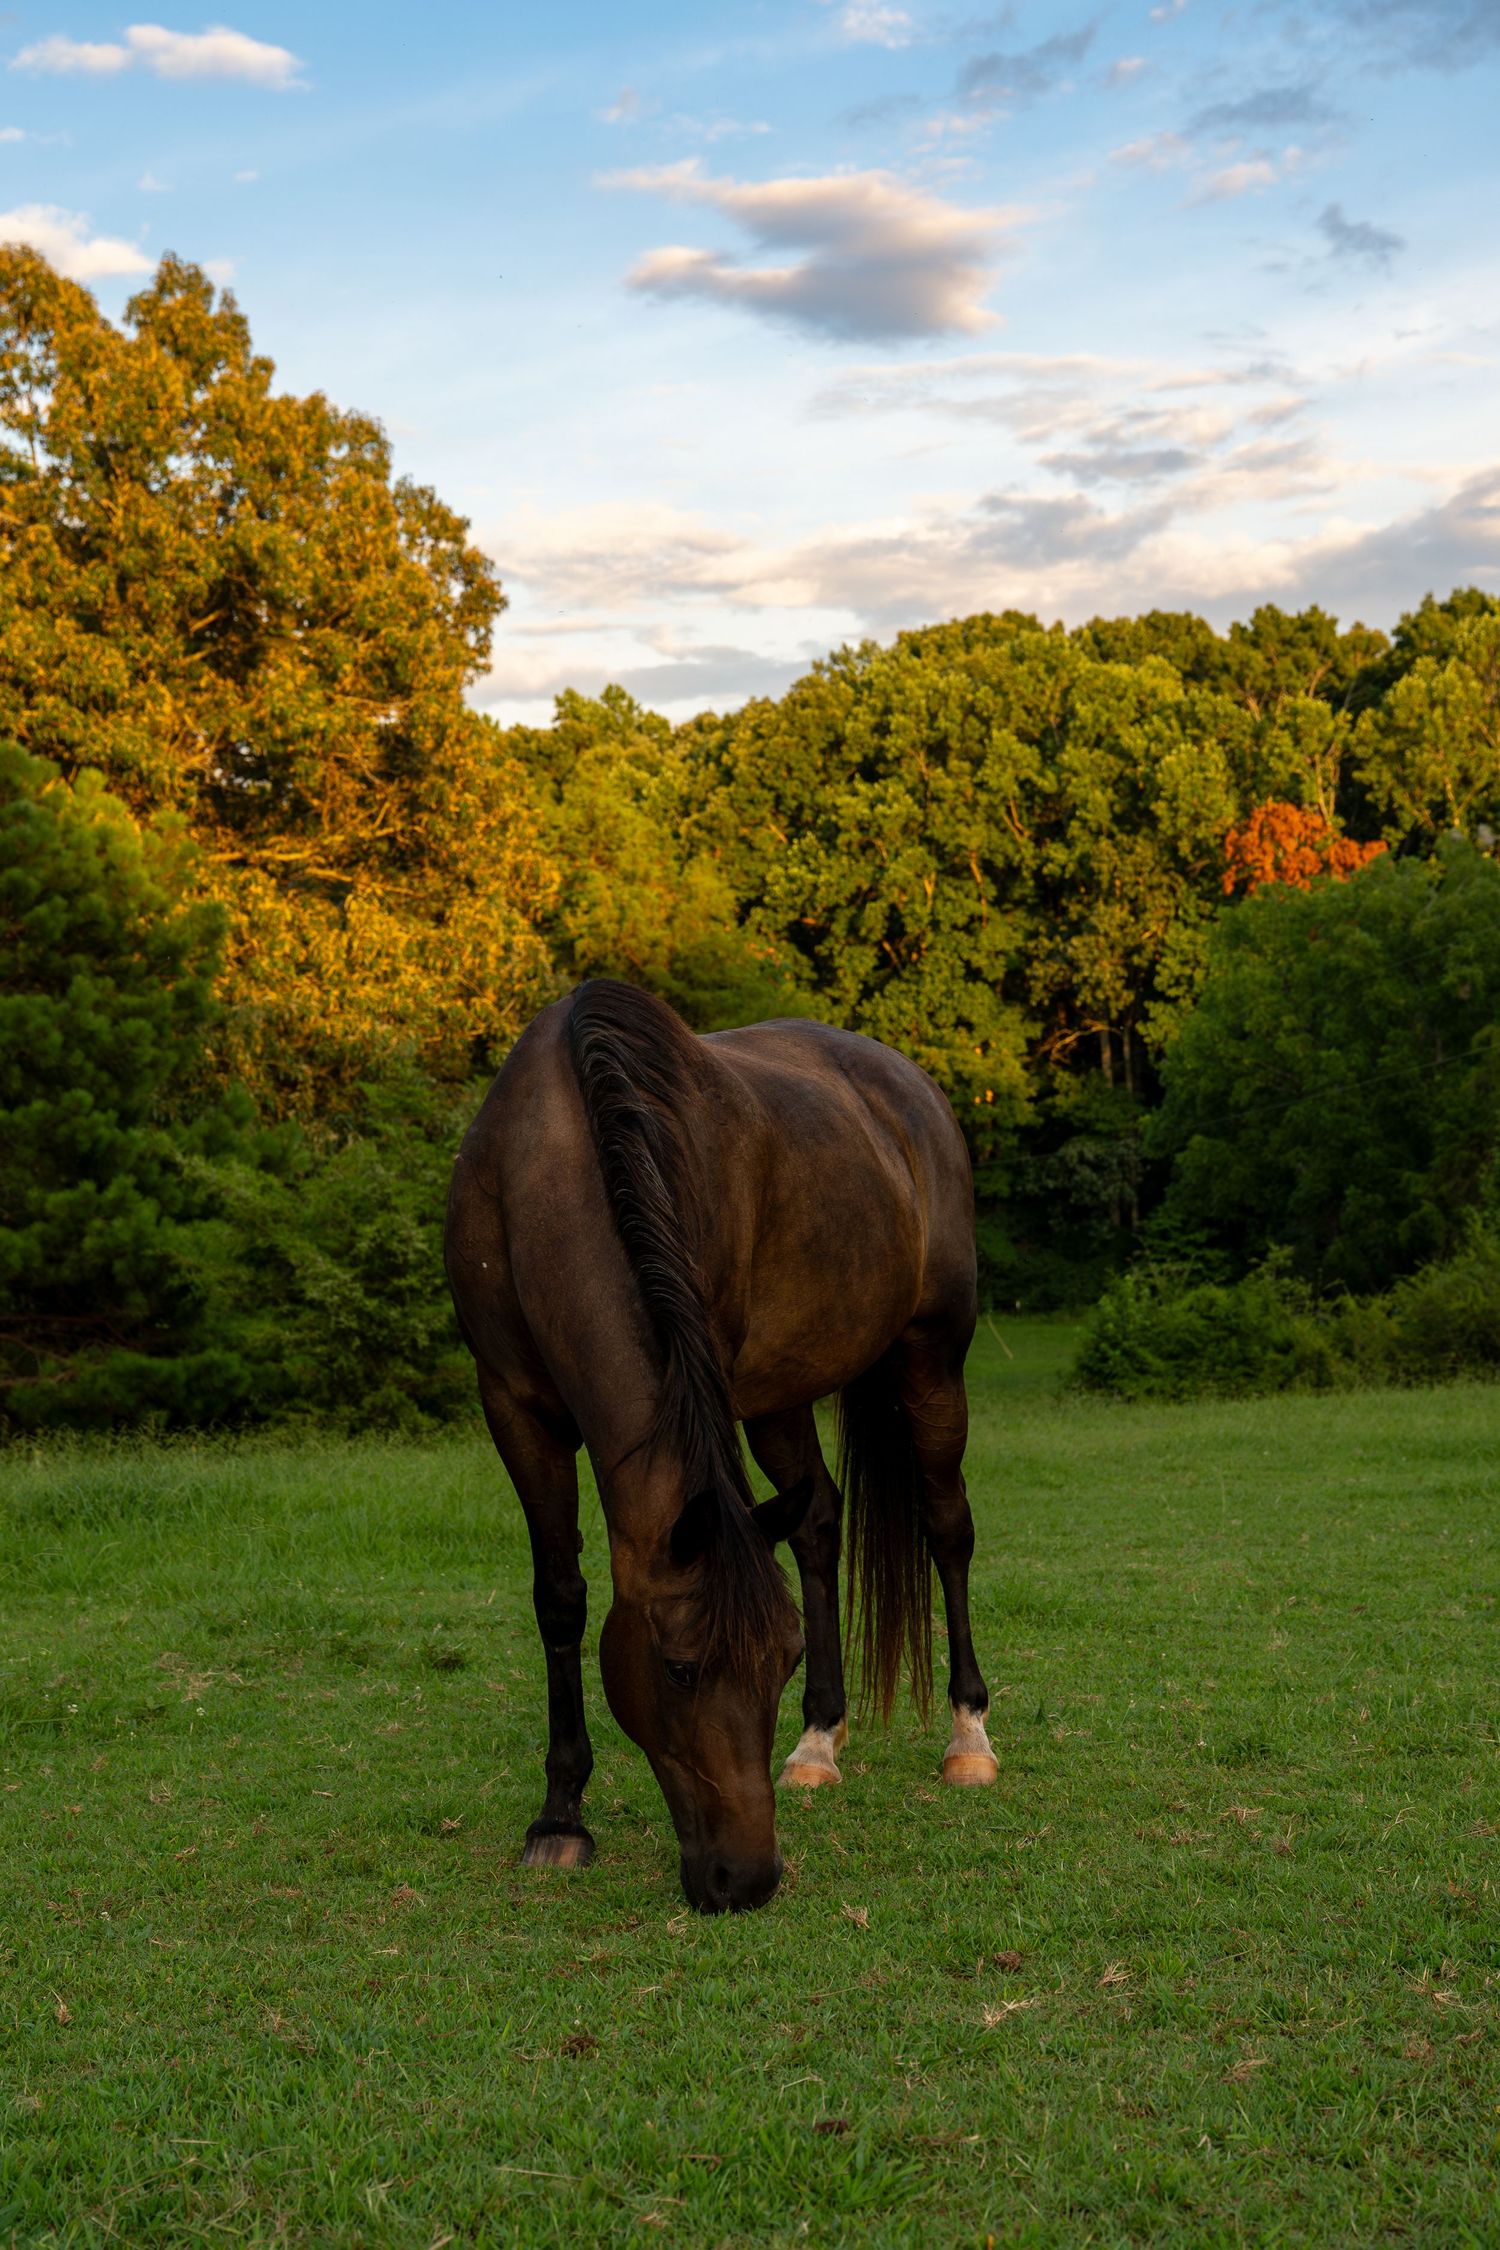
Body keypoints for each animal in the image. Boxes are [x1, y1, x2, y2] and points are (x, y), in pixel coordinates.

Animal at [444, 978, 996, 1914]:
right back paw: (818, 1744)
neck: (549, 1154)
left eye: (779, 1661)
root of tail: (908, 1087)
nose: (747, 1879)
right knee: (816, 1524)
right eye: (679, 1669)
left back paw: (969, 1739)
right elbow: (560, 1597)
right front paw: (559, 1820)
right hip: (781, 1394)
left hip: (930, 1356)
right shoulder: (512, 1406)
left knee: (946, 1528)